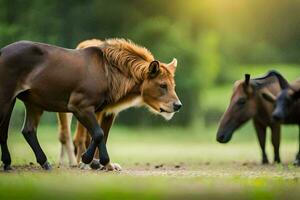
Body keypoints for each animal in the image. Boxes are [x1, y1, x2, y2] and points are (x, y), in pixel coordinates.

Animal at [0, 39, 180, 170]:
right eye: (162, 85)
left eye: (173, 85)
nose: (178, 105)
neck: (108, 73)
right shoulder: (80, 106)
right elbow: (98, 133)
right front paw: (91, 160)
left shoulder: (99, 110)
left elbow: (97, 134)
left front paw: (98, 162)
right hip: (7, 97)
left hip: (31, 102)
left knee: (27, 131)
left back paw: (32, 163)